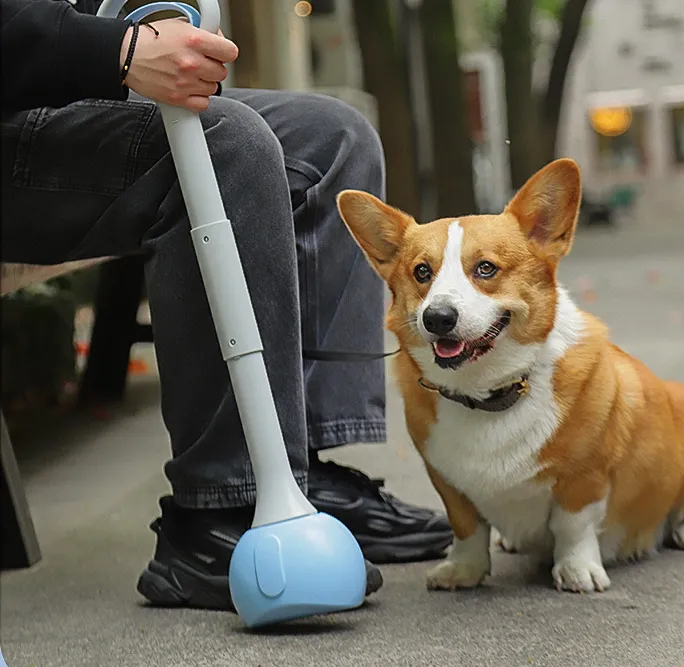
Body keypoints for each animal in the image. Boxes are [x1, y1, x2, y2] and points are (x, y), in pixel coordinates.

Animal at [336, 159, 684, 592]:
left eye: (486, 268)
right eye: (421, 272)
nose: (437, 318)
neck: (488, 394)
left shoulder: (585, 479)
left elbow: (573, 527)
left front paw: (577, 571)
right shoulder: (448, 484)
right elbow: (467, 529)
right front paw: (463, 570)